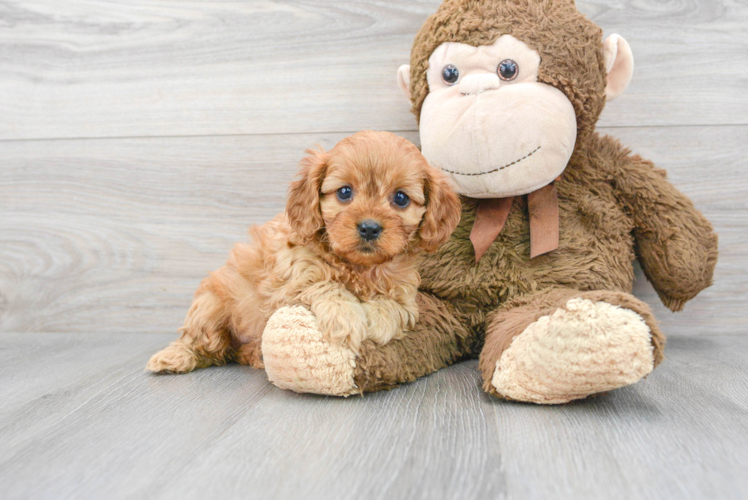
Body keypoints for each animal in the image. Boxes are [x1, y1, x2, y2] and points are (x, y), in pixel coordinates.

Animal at [148, 131, 462, 374]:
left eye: (400, 198)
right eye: (345, 192)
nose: (369, 228)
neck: (359, 267)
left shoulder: (406, 295)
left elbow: (395, 308)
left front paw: (378, 320)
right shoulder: (288, 283)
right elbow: (325, 285)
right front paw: (345, 318)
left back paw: (255, 354)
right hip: (210, 306)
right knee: (204, 344)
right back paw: (174, 357)